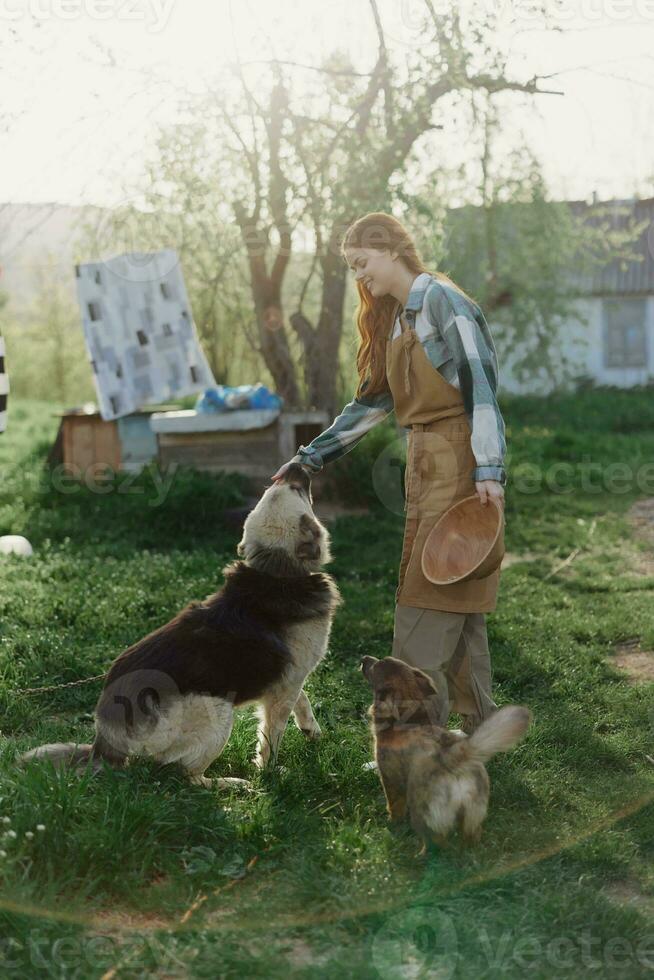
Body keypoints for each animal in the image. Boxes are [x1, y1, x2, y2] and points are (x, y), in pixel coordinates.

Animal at [20, 466, 344, 788]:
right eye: (294, 489)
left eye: (273, 489)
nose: (295, 467)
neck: (277, 573)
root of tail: (105, 741)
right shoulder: (285, 687)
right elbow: (271, 737)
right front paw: (270, 773)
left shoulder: (288, 678)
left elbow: (303, 700)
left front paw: (311, 730)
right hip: (216, 711)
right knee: (185, 775)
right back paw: (228, 783)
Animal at [364, 656, 532, 848]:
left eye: (374, 667)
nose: (364, 658)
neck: (409, 716)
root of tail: (456, 758)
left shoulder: (389, 778)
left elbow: (394, 806)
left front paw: (392, 823)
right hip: (474, 812)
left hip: (426, 812)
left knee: (437, 843)